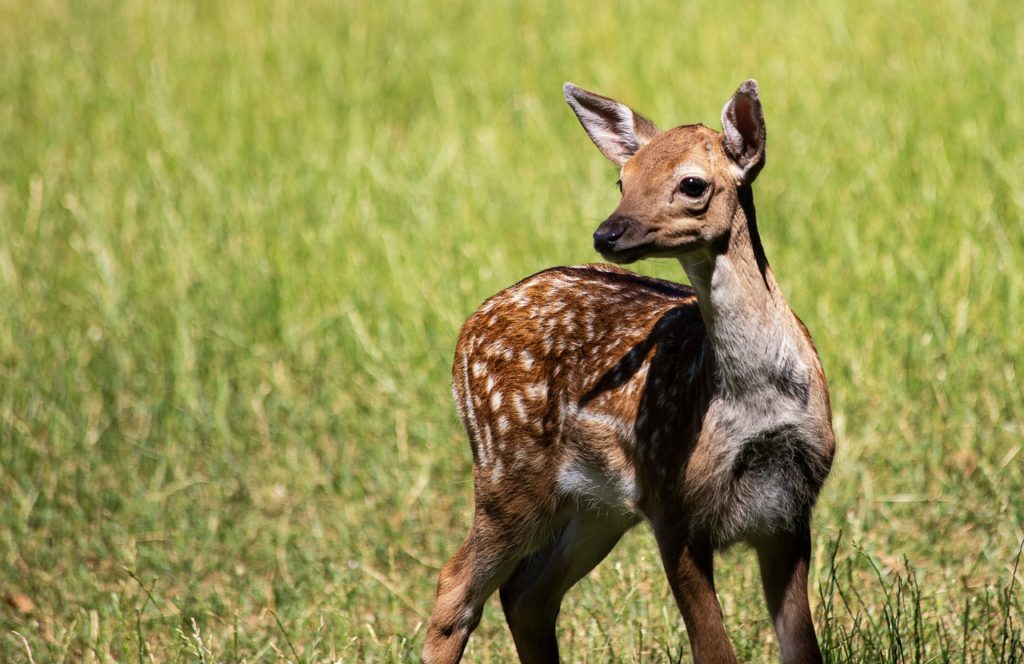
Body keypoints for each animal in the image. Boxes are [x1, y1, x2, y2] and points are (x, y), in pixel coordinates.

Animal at [421, 78, 831, 664]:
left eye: (691, 183)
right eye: (623, 178)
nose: (606, 233)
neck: (755, 403)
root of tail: (467, 326)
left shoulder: (790, 507)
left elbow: (802, 648)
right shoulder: (671, 501)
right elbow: (714, 651)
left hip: (596, 505)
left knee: (527, 592)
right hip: (507, 472)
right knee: (456, 585)